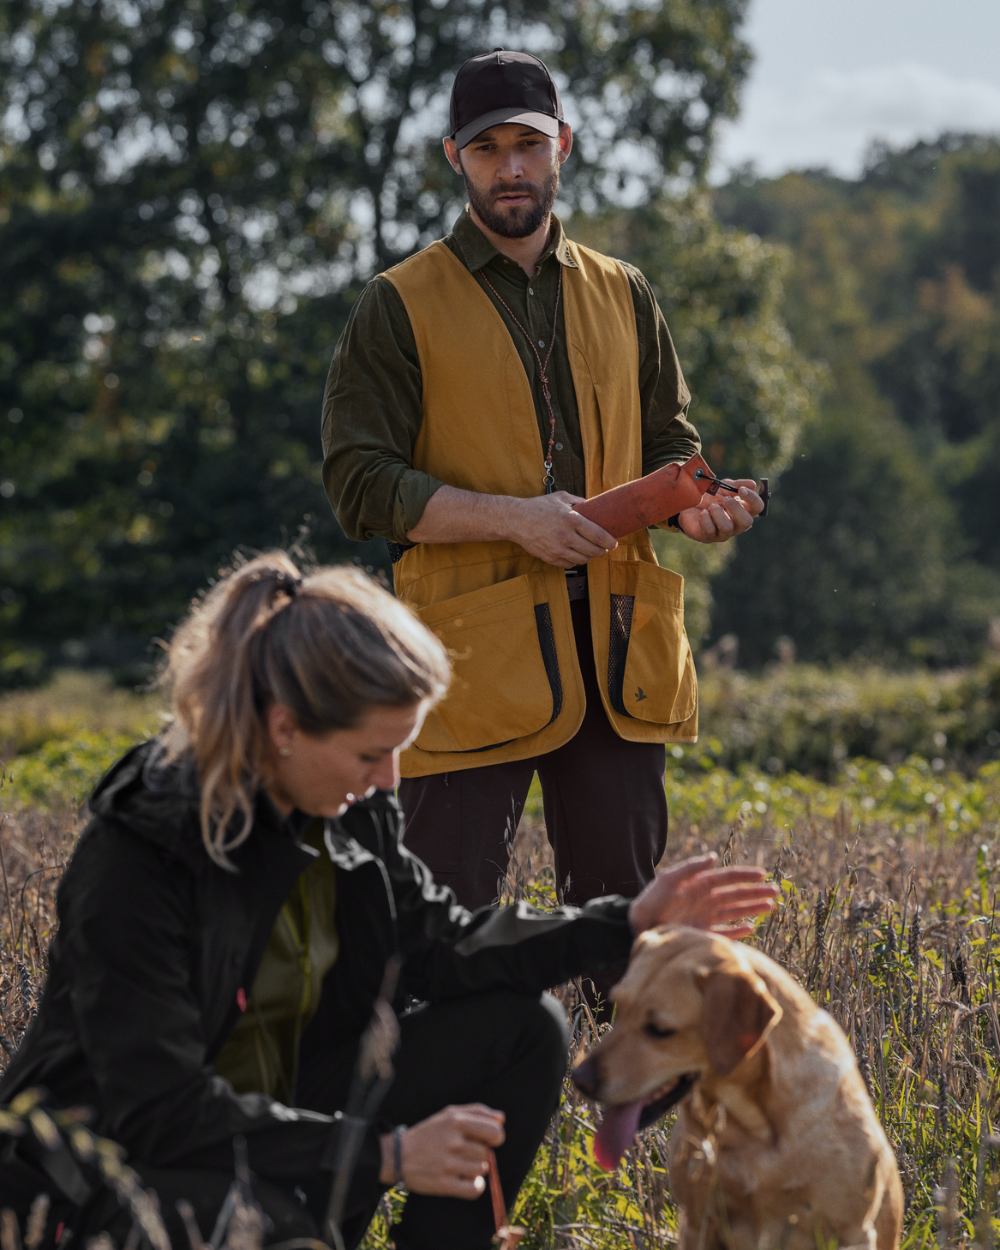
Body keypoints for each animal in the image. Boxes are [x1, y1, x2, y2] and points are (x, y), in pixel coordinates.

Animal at [570, 925, 905, 1245]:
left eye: (660, 1030)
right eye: (620, 1006)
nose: (579, 1079)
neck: (753, 1126)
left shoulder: (851, 1232)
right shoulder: (698, 1220)